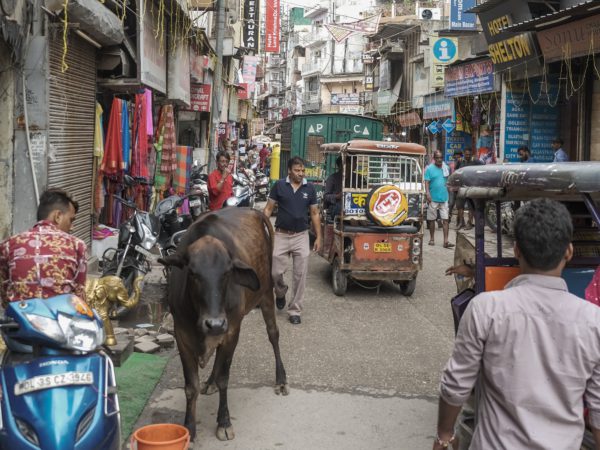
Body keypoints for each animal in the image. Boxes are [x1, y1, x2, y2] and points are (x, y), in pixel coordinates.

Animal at [158, 207, 290, 440]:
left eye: (227, 273)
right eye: (192, 273)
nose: (215, 324)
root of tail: (253, 210)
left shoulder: (231, 331)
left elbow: (224, 379)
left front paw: (224, 422)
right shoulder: (181, 335)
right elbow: (190, 386)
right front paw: (189, 427)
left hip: (265, 293)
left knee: (273, 334)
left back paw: (281, 380)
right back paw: (209, 381)